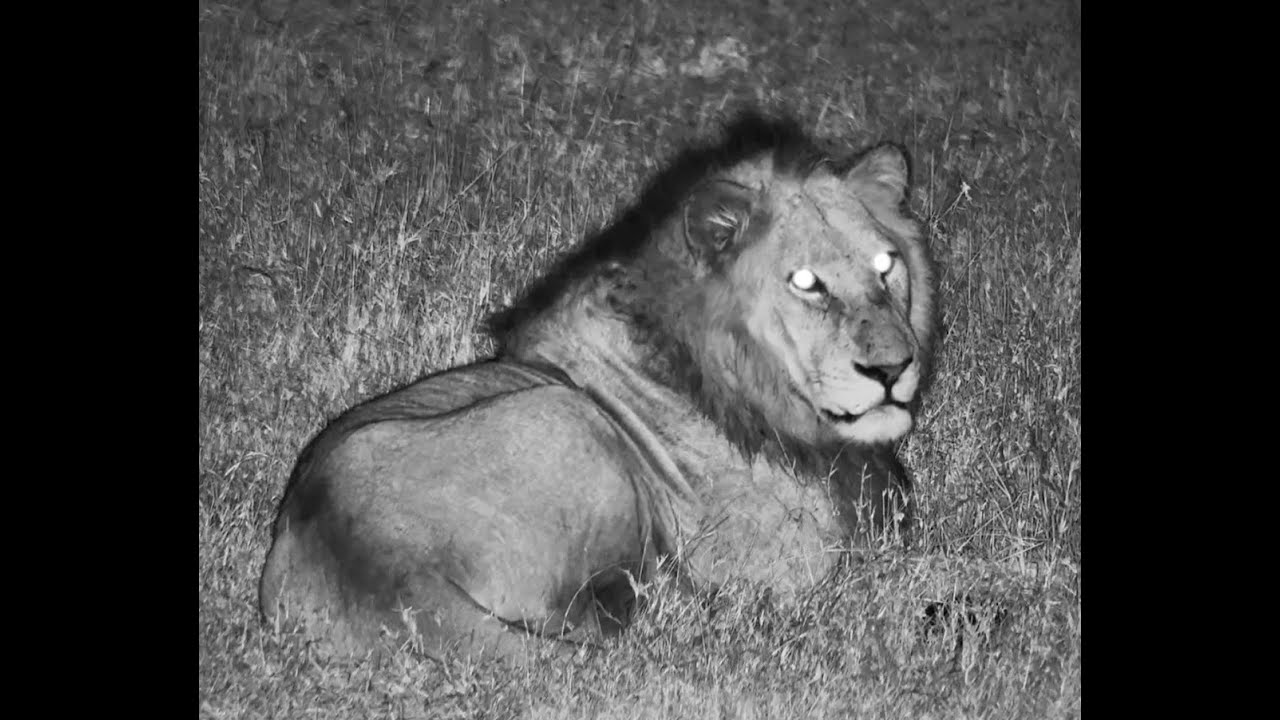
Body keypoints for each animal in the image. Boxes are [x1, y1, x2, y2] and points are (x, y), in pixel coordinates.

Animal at [259, 114, 937, 662]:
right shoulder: (788, 564)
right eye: (805, 282)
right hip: (567, 414)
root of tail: (391, 569)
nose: (892, 368)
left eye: (886, 265)